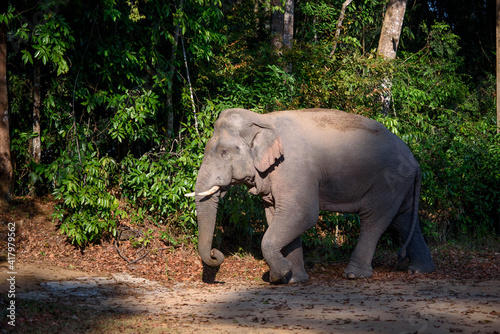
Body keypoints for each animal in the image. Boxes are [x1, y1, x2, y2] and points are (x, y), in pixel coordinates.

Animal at [186, 107, 436, 284]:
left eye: (224, 152)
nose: (217, 253)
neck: (263, 119)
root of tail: (415, 161)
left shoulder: (294, 168)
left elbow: (302, 214)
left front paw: (277, 275)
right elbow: (277, 215)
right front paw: (293, 279)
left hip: (388, 182)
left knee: (374, 220)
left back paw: (354, 275)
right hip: (400, 185)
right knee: (402, 220)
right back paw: (419, 270)